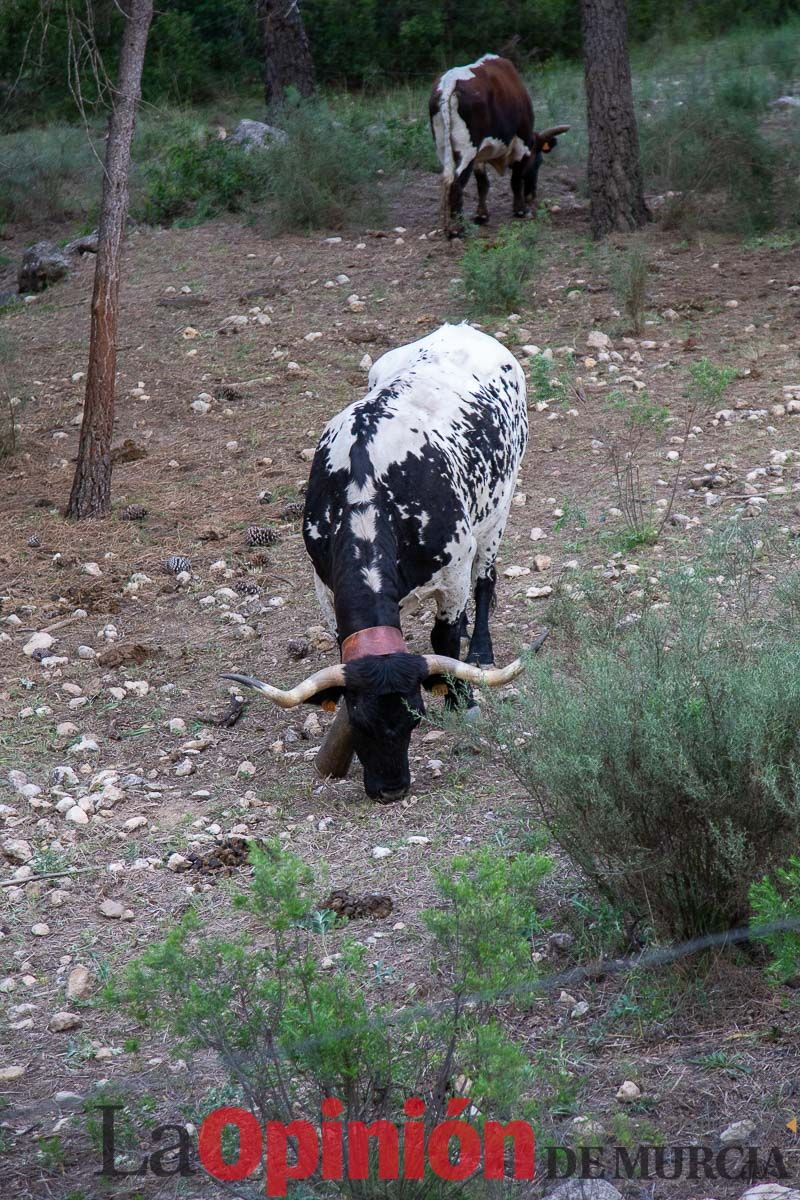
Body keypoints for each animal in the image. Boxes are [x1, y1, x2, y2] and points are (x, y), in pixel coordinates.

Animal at [221, 324, 527, 801]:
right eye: (359, 720)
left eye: (416, 715)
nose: (391, 789)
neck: (371, 488)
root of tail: (460, 327)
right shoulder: (322, 582)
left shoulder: (455, 571)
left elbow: (444, 639)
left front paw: (460, 699)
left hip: (500, 508)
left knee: (487, 581)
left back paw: (480, 647)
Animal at [431, 52, 568, 235]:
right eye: (539, 162)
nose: (532, 196)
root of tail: (450, 82)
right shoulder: (522, 145)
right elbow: (516, 179)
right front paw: (520, 210)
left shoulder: (480, 156)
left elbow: (483, 184)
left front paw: (482, 215)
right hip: (467, 150)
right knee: (456, 183)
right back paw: (457, 229)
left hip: (443, 148)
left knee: (447, 179)